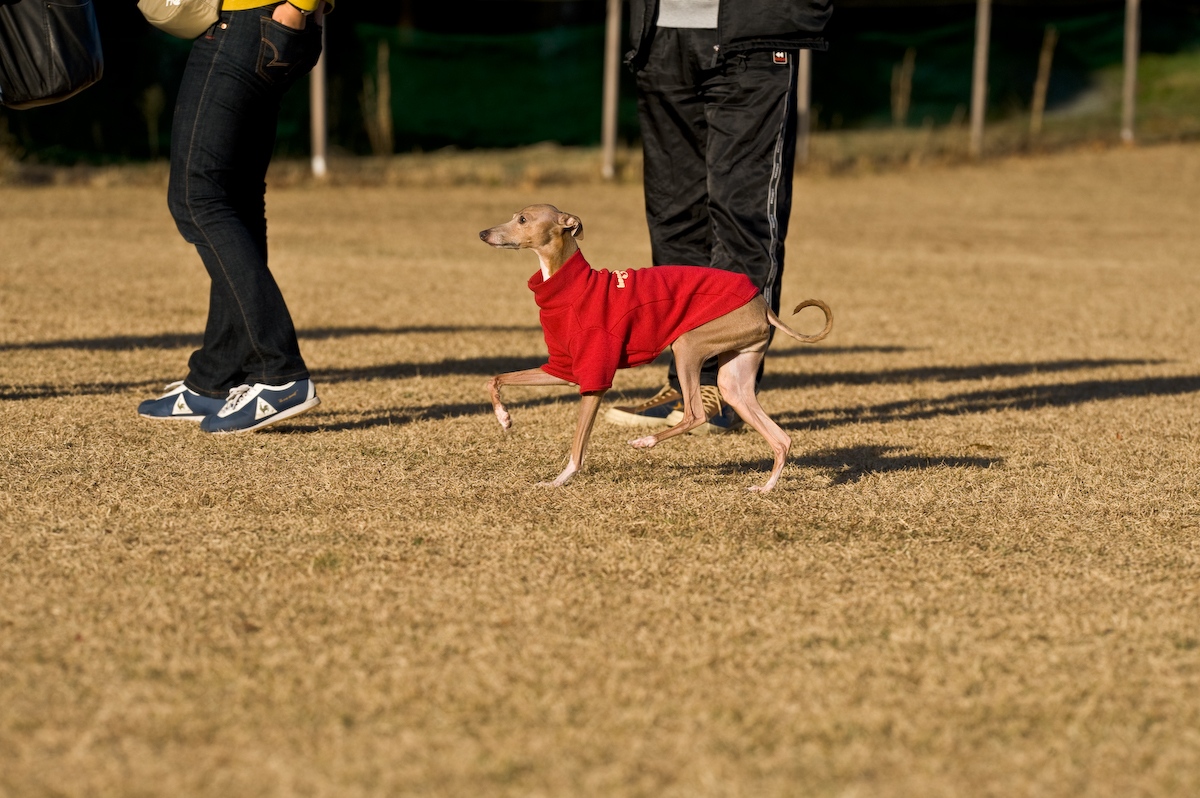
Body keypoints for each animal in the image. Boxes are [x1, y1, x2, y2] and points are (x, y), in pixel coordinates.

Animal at [479, 204, 831, 492]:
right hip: (735, 378)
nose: (483, 233)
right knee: (781, 438)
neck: (572, 287)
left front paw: (558, 481)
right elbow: (494, 378)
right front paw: (504, 418)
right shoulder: (561, 368)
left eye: (523, 219)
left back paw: (646, 441)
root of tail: (763, 304)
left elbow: (578, 447)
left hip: (687, 345)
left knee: (696, 413)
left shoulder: (595, 378)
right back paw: (765, 488)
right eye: (514, 215)